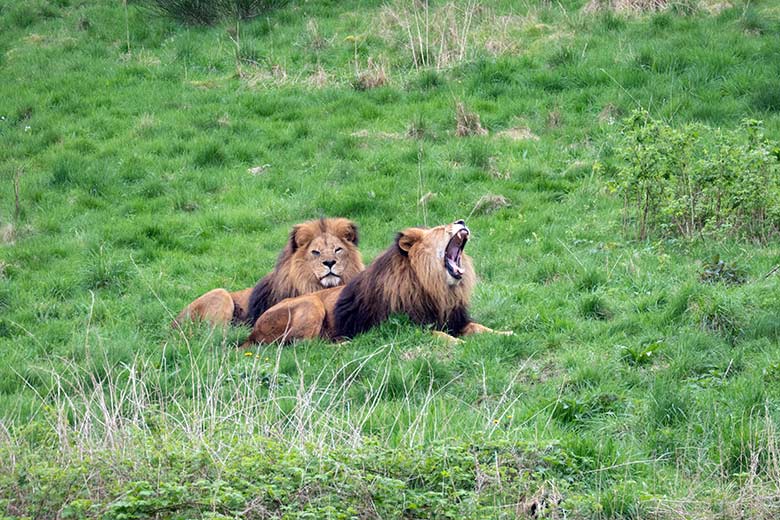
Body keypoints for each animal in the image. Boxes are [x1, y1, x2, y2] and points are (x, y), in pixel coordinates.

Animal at [244, 219, 512, 346]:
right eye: (439, 228)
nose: (461, 221)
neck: (439, 289)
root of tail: (252, 331)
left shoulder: (456, 319)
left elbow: (480, 328)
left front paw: (506, 333)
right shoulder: (403, 326)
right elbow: (438, 334)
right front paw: (457, 343)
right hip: (311, 305)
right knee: (306, 346)